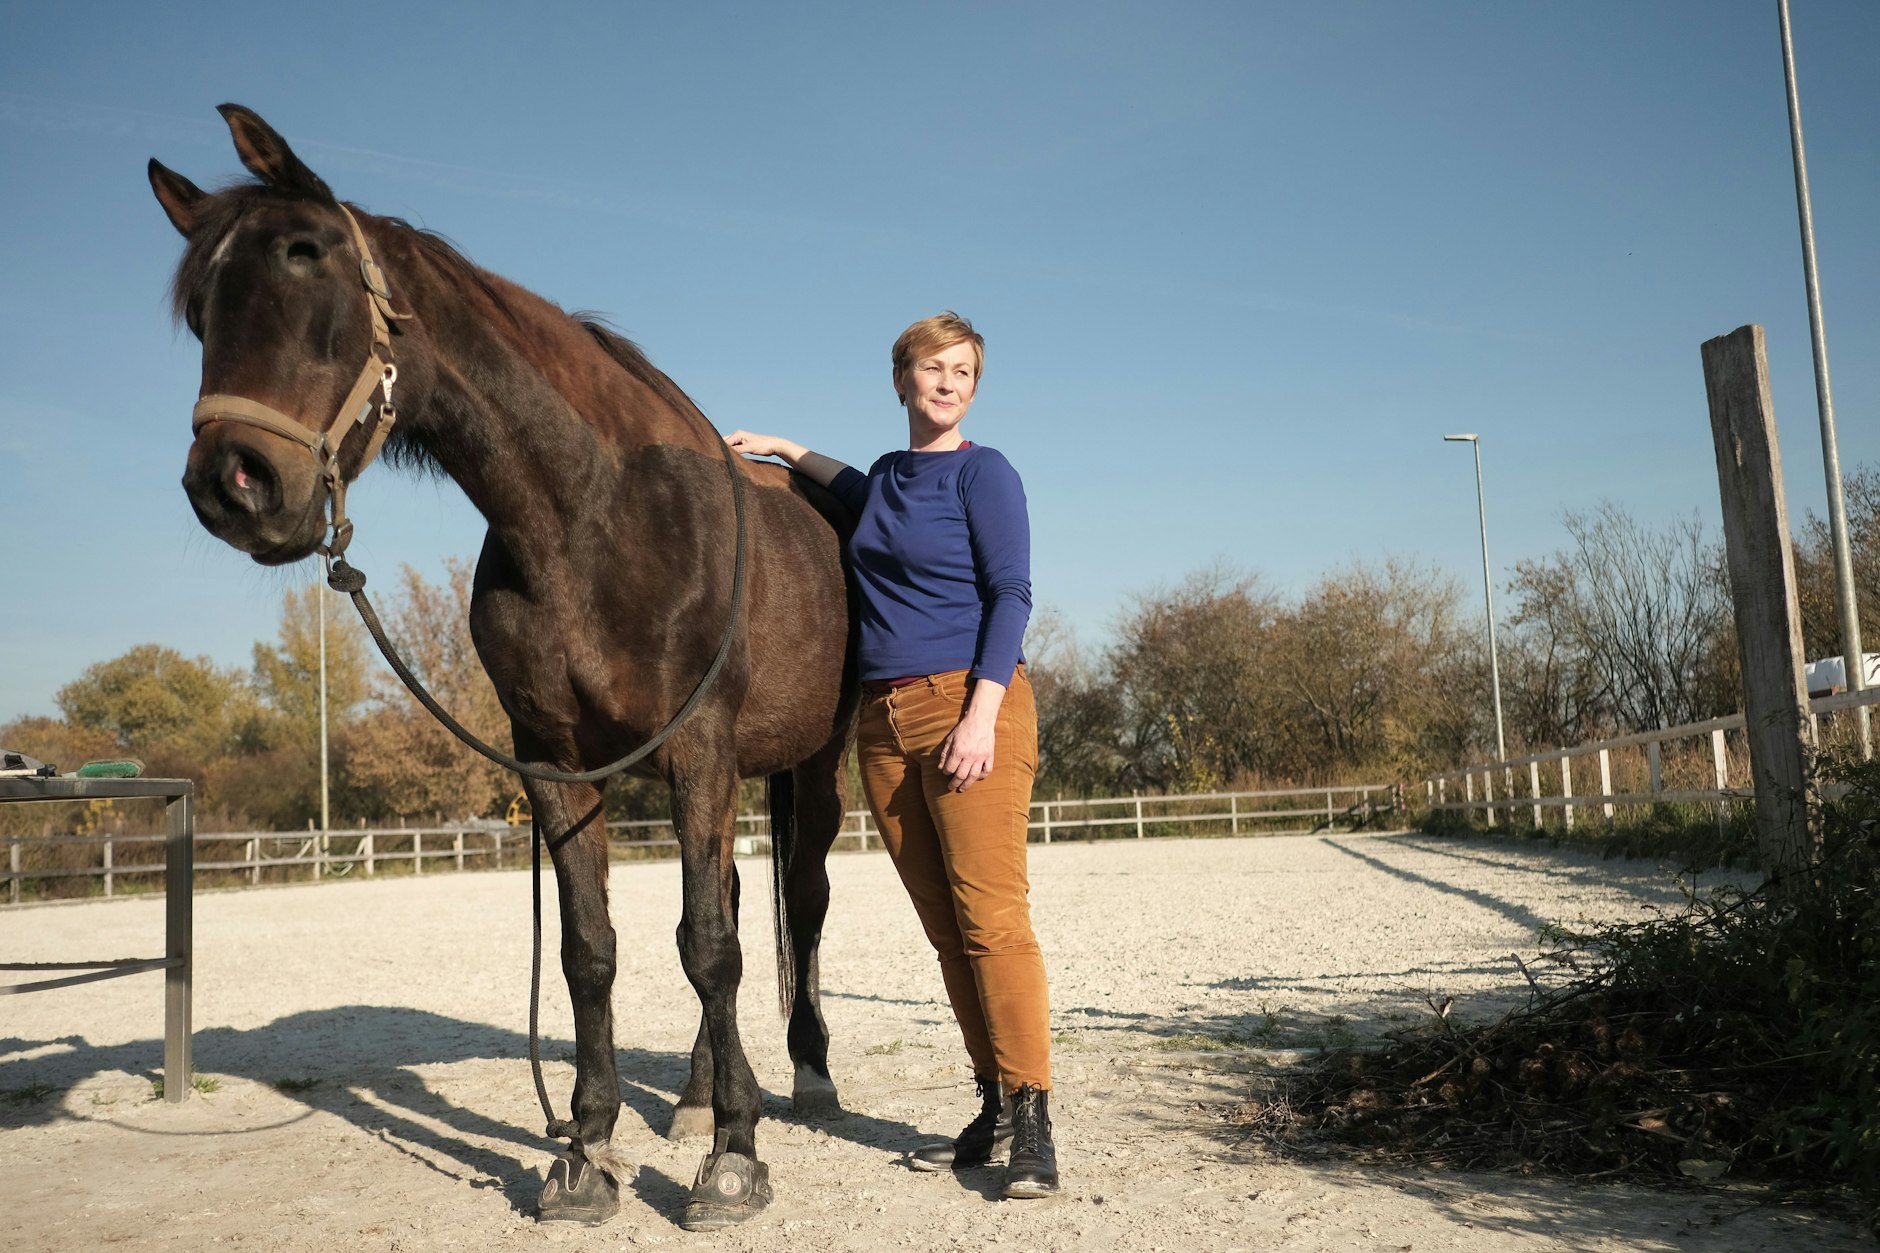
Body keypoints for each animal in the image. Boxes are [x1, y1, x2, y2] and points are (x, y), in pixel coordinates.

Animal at [148, 104, 857, 1231]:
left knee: (803, 898)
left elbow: (707, 945)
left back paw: (806, 1076)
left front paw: (734, 1161)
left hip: (816, 763)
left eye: (307, 257)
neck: (593, 516)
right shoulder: (556, 764)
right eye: (200, 309)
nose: (233, 482)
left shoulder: (700, 747)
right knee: (744, 900)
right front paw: (586, 1151)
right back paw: (698, 1094)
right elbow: (590, 949)